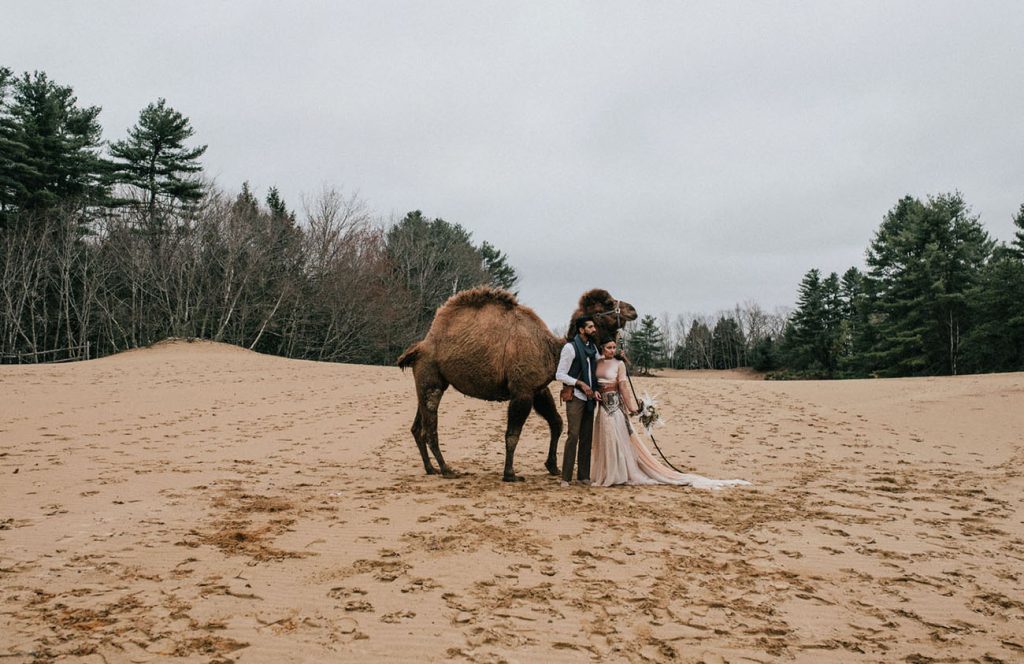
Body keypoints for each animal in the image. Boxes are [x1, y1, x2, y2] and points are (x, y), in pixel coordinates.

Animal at [395, 286, 634, 479]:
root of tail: (419, 348)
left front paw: (552, 467)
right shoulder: (523, 391)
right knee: (430, 427)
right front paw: (510, 474)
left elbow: (556, 423)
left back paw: (430, 468)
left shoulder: (538, 390)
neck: (552, 351)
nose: (632, 309)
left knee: (418, 427)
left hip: (430, 382)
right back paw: (446, 469)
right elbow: (513, 434)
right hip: (431, 378)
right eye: (609, 303)